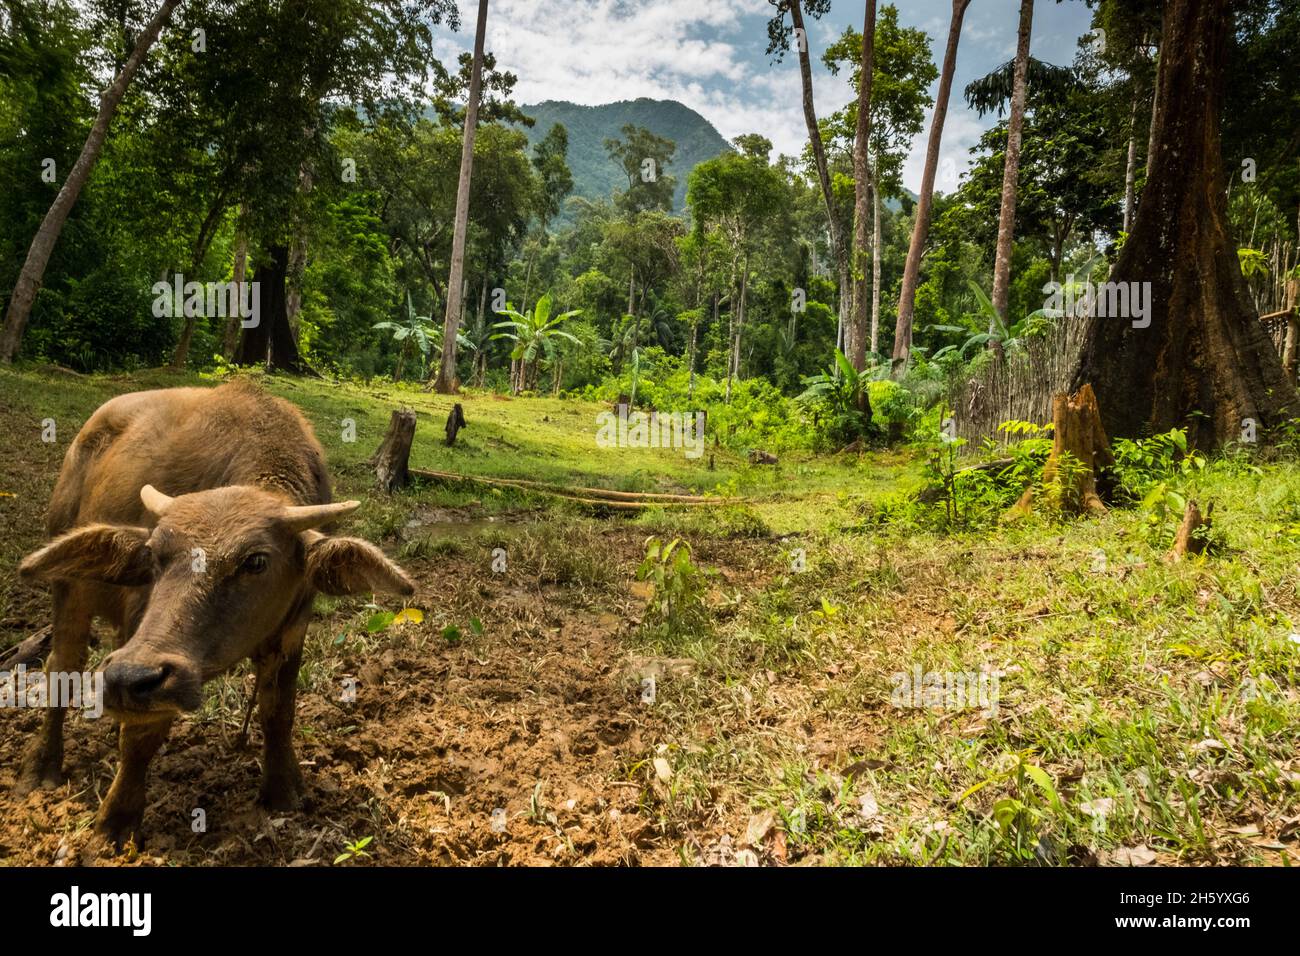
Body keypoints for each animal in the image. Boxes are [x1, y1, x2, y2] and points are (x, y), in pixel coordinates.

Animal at [13, 379, 410, 842]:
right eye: (155, 556)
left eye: (255, 561)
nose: (128, 677)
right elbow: (142, 733)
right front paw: (117, 820)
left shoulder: (292, 629)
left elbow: (279, 711)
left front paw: (282, 789)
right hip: (68, 586)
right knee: (62, 665)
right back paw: (41, 766)